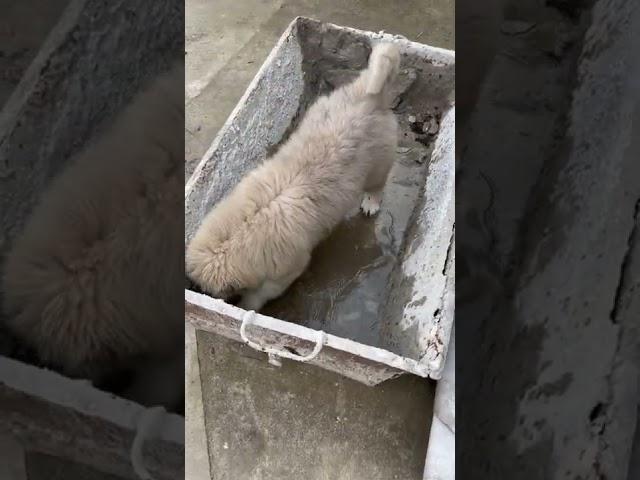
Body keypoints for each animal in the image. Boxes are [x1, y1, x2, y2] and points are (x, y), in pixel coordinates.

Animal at [185, 42, 400, 312]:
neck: (242, 229)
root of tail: (370, 95)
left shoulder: (284, 272)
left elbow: (261, 293)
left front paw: (247, 304)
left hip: (378, 164)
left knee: (377, 185)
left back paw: (371, 203)